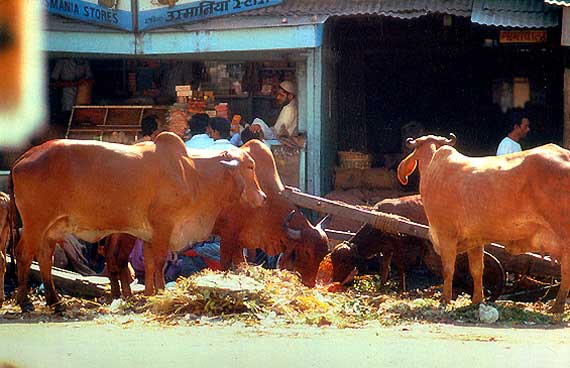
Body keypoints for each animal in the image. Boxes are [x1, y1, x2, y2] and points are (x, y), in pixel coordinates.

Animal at [11, 132, 264, 310]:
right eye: (250, 166)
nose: (262, 197)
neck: (192, 172)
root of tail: (23, 158)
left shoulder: (150, 234)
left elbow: (151, 262)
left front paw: (151, 292)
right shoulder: (164, 227)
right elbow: (159, 262)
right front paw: (160, 292)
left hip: (52, 228)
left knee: (45, 258)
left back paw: (55, 302)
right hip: (36, 223)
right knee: (23, 254)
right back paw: (25, 302)